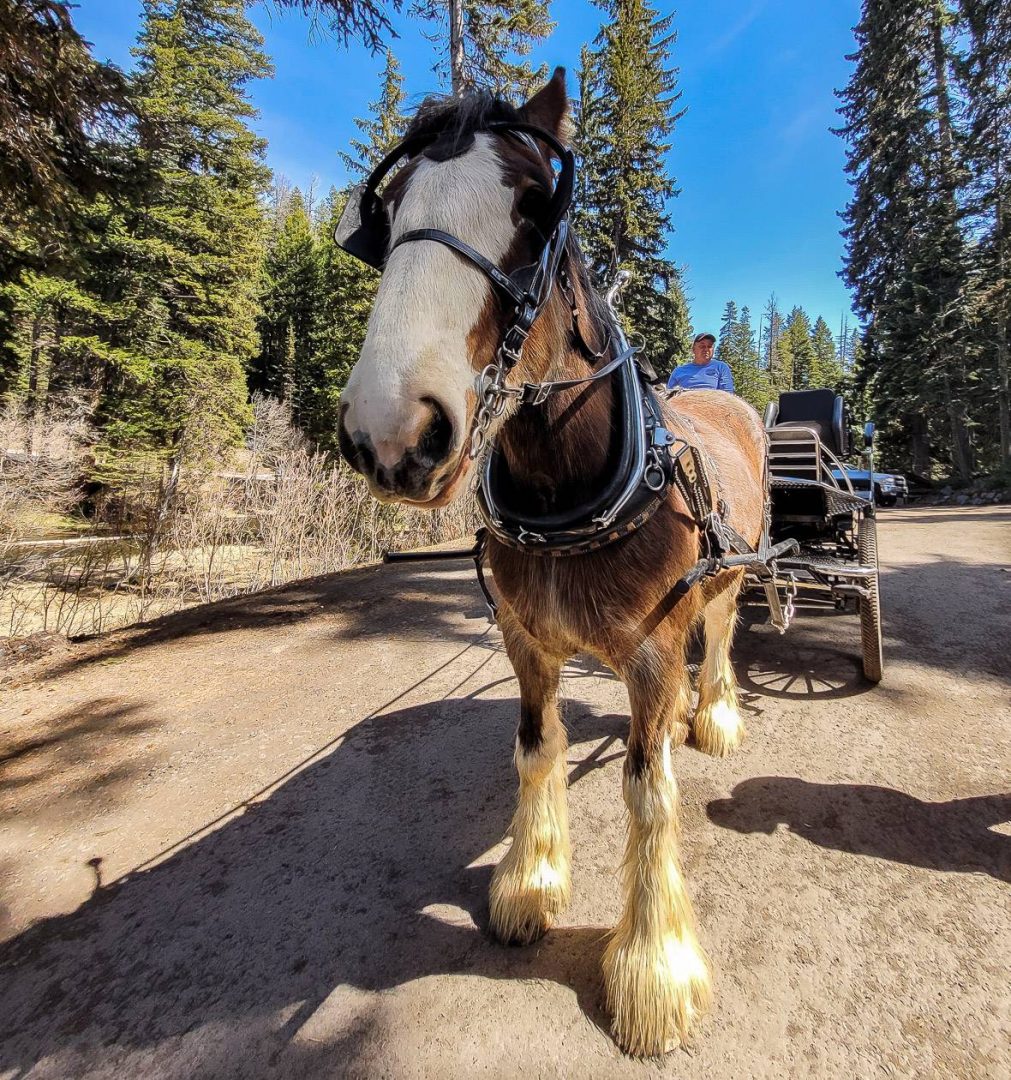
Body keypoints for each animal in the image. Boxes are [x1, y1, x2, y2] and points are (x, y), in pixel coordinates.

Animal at [337, 67, 764, 1054]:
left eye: (536, 207)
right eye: (389, 215)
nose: (391, 430)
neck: (572, 491)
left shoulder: (650, 651)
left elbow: (650, 793)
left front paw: (652, 970)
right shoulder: (526, 641)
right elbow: (536, 749)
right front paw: (527, 884)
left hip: (731, 573)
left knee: (721, 632)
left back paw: (713, 713)